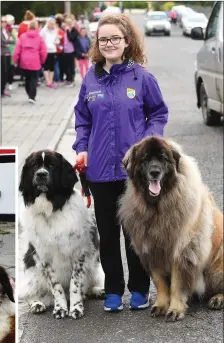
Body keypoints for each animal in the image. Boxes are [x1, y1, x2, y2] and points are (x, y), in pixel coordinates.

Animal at [18, 152, 104, 322]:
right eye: (34, 166)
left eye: (52, 166)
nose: (41, 174)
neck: (51, 210)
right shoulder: (44, 257)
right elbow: (56, 286)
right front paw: (60, 309)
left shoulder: (79, 253)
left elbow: (75, 283)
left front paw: (76, 308)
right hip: (33, 272)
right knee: (28, 293)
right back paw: (37, 303)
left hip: (95, 266)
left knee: (88, 285)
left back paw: (97, 291)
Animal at [118, 136, 223, 322]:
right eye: (145, 159)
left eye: (162, 158)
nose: (154, 172)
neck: (157, 208)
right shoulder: (152, 250)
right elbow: (160, 283)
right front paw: (160, 305)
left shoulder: (181, 253)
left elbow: (176, 285)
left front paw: (175, 309)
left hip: (217, 266)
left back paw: (217, 299)